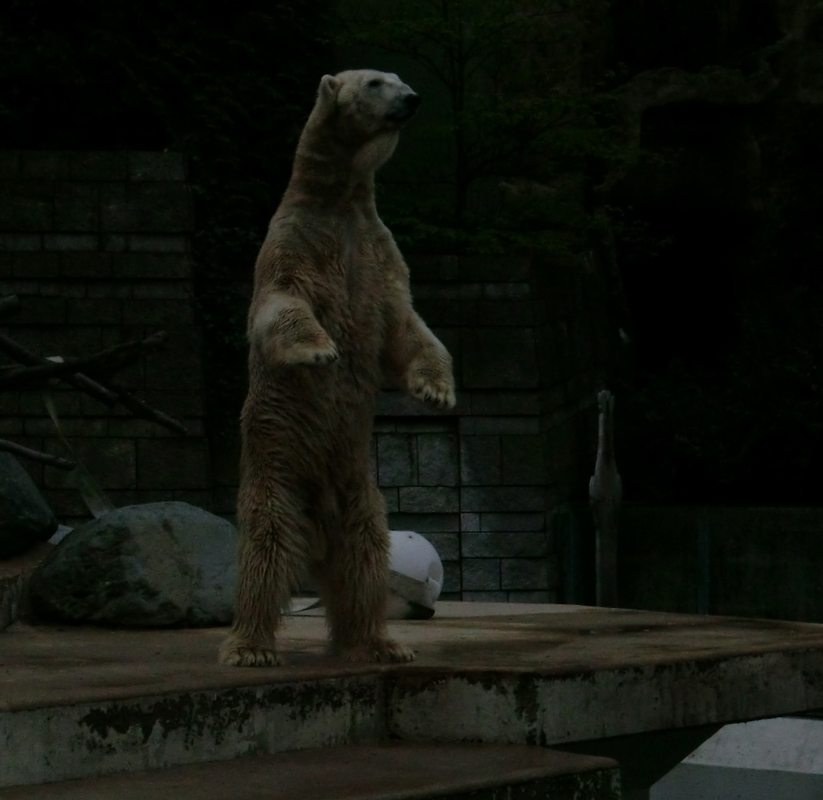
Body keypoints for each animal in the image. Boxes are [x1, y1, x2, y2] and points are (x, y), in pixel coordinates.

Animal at [219, 70, 460, 668]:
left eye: (399, 78)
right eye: (375, 82)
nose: (412, 99)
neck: (340, 200)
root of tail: (318, 531)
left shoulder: (378, 250)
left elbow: (405, 322)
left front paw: (437, 392)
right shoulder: (294, 240)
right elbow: (280, 301)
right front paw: (319, 352)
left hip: (358, 489)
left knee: (365, 559)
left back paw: (378, 642)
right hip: (277, 472)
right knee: (266, 550)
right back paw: (251, 646)